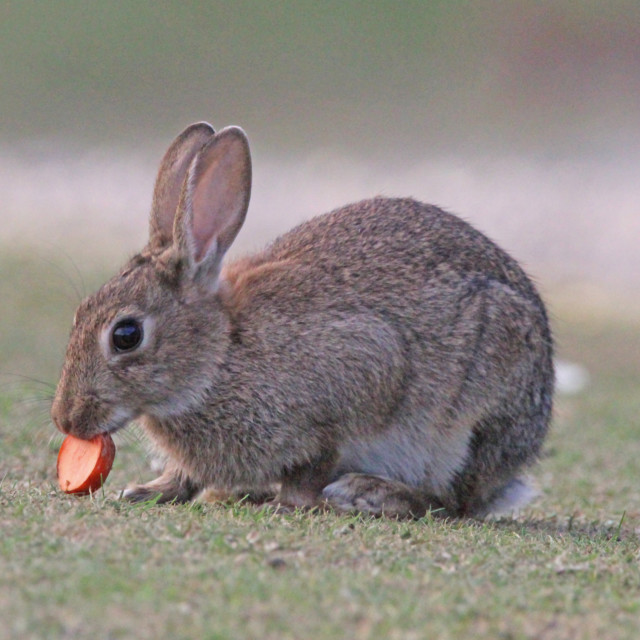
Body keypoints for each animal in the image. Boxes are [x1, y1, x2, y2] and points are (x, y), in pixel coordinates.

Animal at [50, 121, 552, 520]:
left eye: (126, 335)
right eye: (78, 314)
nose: (65, 419)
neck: (219, 354)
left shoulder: (359, 374)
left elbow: (315, 462)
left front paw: (286, 501)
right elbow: (184, 476)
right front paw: (147, 491)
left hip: (470, 419)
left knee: (450, 501)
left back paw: (366, 493)